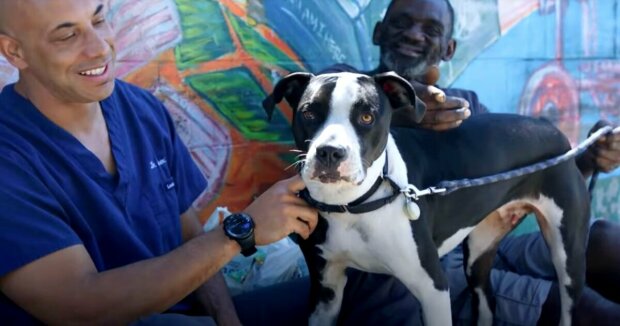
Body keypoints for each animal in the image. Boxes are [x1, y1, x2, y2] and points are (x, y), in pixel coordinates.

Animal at [262, 72, 592, 326]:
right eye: (309, 113)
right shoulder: (325, 290)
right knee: (486, 302)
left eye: (366, 116)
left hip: (568, 257)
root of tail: (554, 130)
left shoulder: (432, 287)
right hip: (479, 255)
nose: (330, 152)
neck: (354, 205)